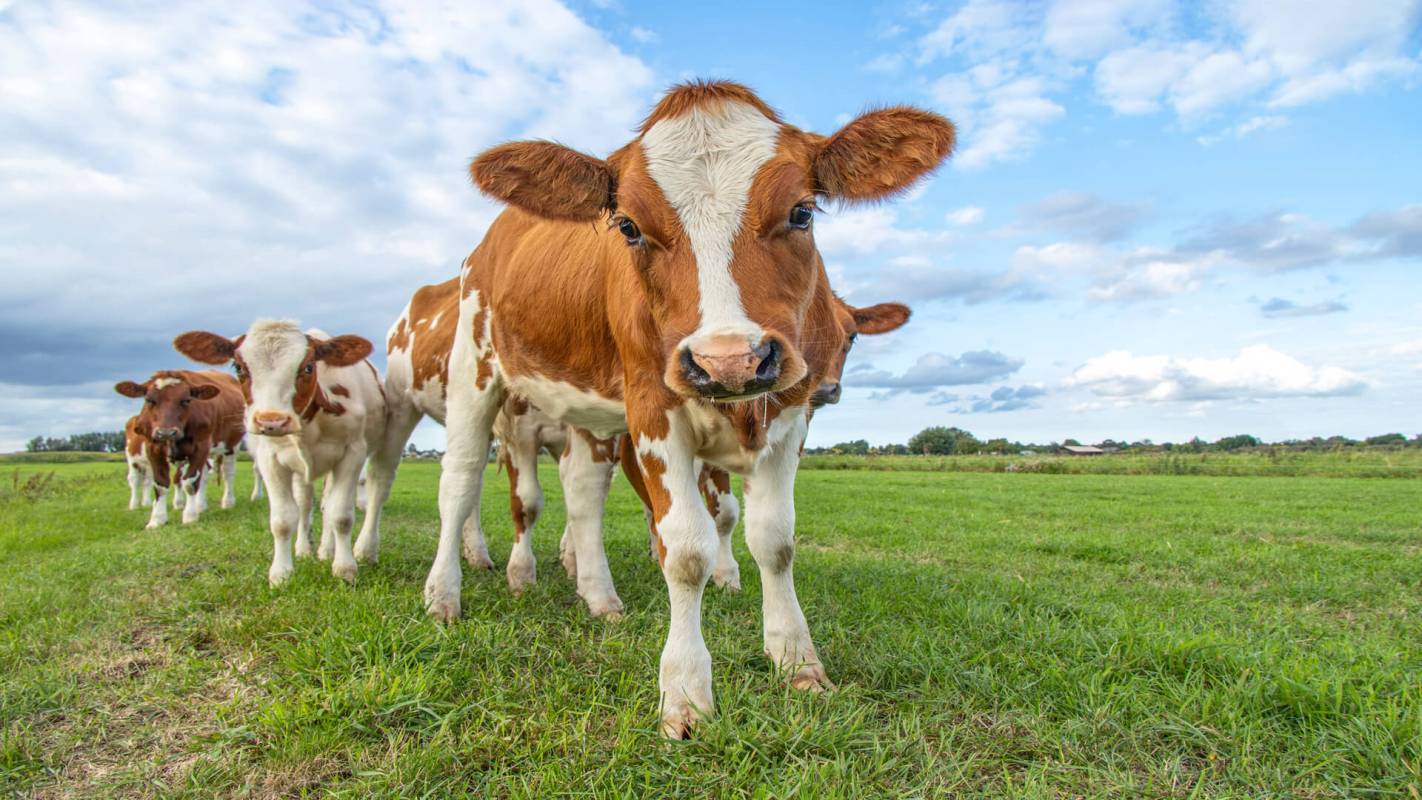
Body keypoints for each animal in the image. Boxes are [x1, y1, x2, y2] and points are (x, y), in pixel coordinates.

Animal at [112, 372, 248, 528]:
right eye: (149, 400)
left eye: (186, 400)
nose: (166, 432)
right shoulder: (153, 449)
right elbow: (160, 484)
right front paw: (157, 519)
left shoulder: (200, 447)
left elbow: (189, 483)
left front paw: (190, 516)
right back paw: (200, 505)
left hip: (231, 445)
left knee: (228, 474)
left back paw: (227, 502)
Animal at [177, 321, 389, 588]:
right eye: (238, 367)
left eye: (308, 367)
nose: (272, 421)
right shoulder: (271, 459)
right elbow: (283, 520)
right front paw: (281, 573)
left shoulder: (353, 453)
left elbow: (340, 514)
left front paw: (344, 568)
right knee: (305, 503)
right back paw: (305, 548)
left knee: (327, 504)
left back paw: (326, 550)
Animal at [432, 83, 955, 738]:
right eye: (628, 226)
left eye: (803, 211)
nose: (729, 361)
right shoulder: (652, 408)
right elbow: (684, 551)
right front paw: (684, 692)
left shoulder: (793, 413)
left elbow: (773, 539)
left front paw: (796, 659)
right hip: (475, 371)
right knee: (461, 482)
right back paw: (446, 594)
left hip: (588, 411)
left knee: (582, 493)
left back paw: (598, 595)